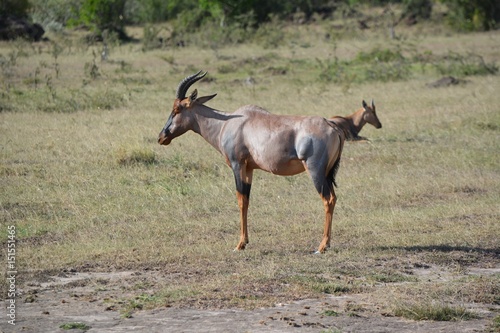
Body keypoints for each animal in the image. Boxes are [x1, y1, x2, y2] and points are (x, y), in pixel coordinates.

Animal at [158, 69, 346, 252]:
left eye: (177, 109)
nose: (161, 137)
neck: (228, 123)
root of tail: (331, 126)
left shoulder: (237, 165)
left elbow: (240, 200)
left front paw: (239, 244)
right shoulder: (249, 169)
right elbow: (247, 200)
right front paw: (245, 241)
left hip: (315, 170)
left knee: (328, 199)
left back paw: (322, 246)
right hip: (327, 173)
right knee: (334, 198)